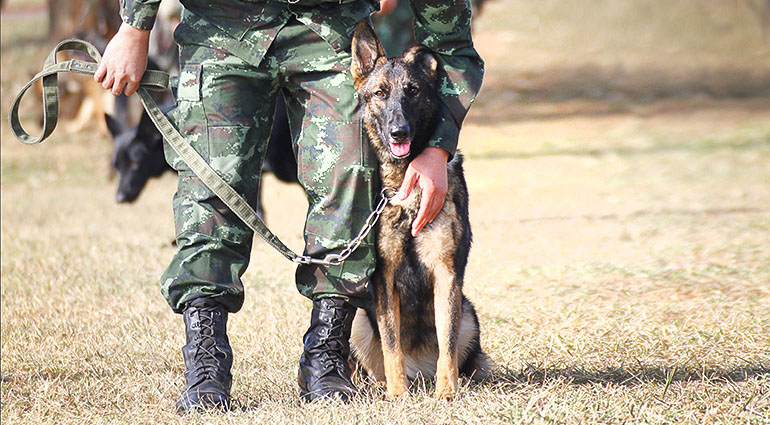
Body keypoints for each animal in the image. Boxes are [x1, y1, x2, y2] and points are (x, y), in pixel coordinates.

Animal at [346, 23, 488, 400]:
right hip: (358, 317)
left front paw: (447, 392)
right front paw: (398, 395)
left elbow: (447, 342)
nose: (399, 132)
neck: (408, 180)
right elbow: (391, 343)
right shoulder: (384, 279)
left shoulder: (446, 273)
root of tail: (418, 371)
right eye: (380, 94)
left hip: (470, 313)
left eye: (412, 91)